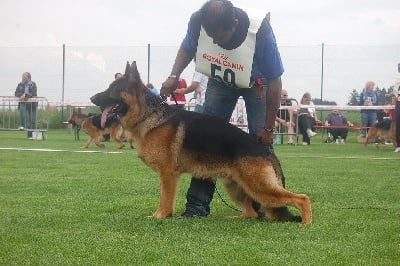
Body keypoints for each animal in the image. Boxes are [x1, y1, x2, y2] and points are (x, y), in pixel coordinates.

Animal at [90, 61, 312, 224]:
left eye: (112, 89)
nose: (92, 98)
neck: (149, 115)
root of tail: (265, 149)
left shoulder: (168, 174)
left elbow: (165, 199)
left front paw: (160, 217)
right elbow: (163, 198)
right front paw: (158, 215)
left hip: (258, 187)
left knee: (302, 198)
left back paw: (306, 223)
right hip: (237, 186)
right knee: (252, 213)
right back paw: (236, 218)